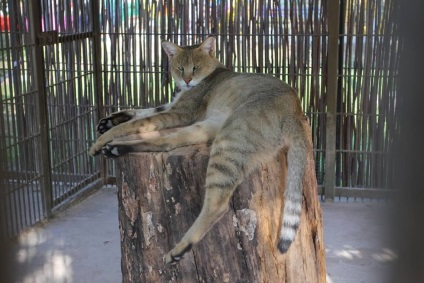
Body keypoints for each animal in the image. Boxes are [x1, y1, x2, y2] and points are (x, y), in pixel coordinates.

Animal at [89, 36, 308, 266]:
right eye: (180, 68)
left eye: (195, 67)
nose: (186, 80)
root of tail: (296, 112)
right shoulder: (172, 107)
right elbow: (141, 111)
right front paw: (108, 121)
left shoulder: (181, 113)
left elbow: (137, 122)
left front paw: (101, 139)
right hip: (207, 127)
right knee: (167, 142)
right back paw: (116, 149)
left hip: (228, 141)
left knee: (217, 204)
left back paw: (178, 250)